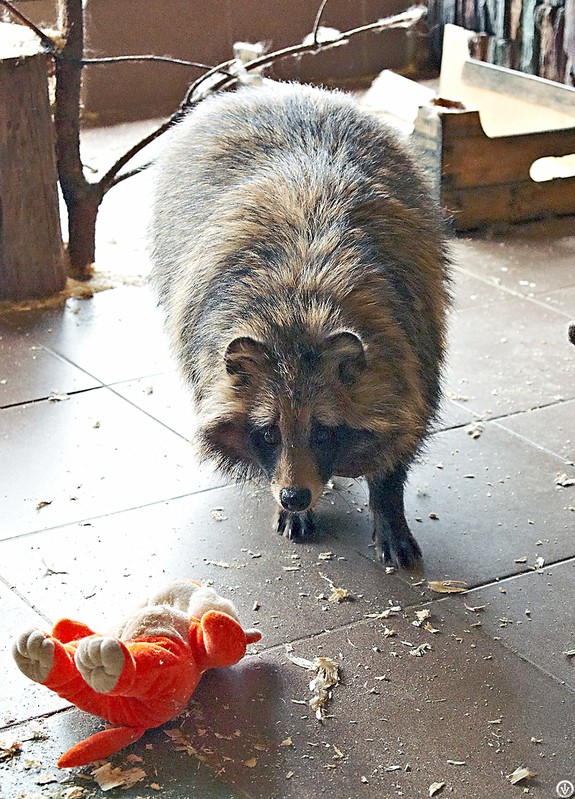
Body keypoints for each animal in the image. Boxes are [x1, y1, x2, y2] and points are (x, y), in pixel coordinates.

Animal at [148, 83, 450, 568]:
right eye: (268, 432)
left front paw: (388, 503)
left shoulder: (413, 340)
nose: (293, 496)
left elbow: (402, 430)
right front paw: (292, 506)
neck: (299, 312)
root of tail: (272, 90)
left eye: (323, 431)